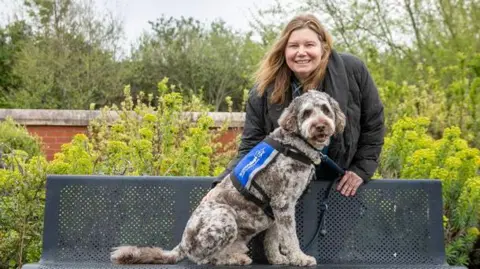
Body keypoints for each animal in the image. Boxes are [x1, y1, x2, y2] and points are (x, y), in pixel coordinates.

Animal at [111, 89, 346, 264]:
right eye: (307, 113)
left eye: (325, 110)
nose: (320, 125)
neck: (295, 143)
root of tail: (182, 244)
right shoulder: (283, 203)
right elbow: (290, 237)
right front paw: (300, 258)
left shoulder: (277, 210)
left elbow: (273, 239)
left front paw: (278, 259)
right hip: (225, 218)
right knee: (204, 259)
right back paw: (232, 260)